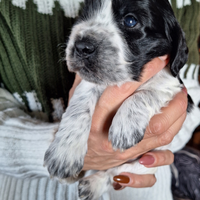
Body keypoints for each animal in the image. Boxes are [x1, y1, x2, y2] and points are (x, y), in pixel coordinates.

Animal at [44, 0, 193, 199]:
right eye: (85, 14)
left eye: (130, 21)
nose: (82, 46)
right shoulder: (89, 81)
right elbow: (79, 106)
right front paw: (64, 153)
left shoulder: (173, 84)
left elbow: (147, 92)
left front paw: (125, 127)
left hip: (148, 163)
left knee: (116, 172)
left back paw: (92, 185)